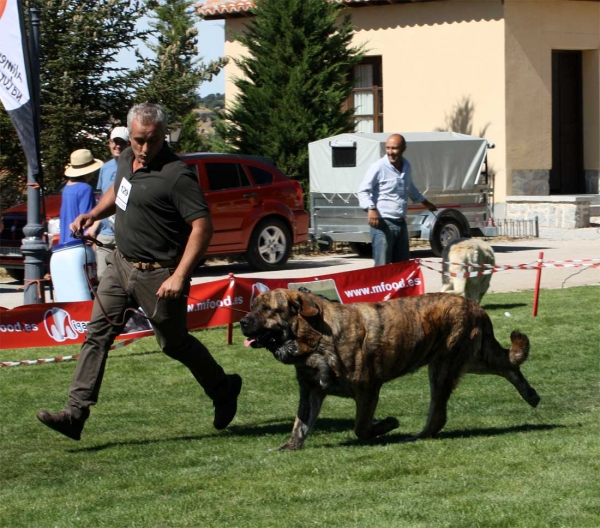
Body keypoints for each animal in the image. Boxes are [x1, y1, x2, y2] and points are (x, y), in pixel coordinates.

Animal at [239, 288, 540, 450]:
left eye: (266, 309)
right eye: (252, 307)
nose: (242, 322)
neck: (315, 339)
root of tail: (477, 307)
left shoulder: (368, 388)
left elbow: (360, 427)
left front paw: (387, 424)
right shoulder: (311, 391)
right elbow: (300, 424)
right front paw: (289, 446)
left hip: (444, 365)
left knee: (438, 414)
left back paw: (416, 436)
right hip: (473, 358)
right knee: (507, 365)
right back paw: (530, 394)